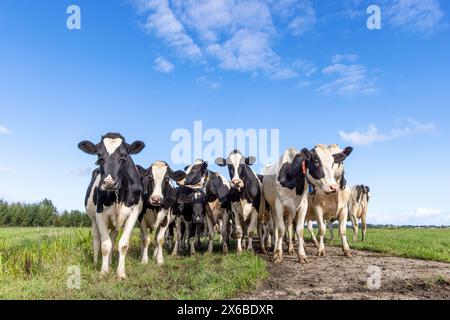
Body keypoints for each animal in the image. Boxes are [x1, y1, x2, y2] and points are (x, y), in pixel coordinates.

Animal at [78, 132, 145, 278]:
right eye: (99, 155)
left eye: (124, 155)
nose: (109, 183)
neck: (118, 196)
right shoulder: (100, 215)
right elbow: (105, 245)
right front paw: (103, 271)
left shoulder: (133, 213)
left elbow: (122, 244)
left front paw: (120, 273)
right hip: (94, 220)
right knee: (97, 241)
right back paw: (97, 263)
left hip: (115, 224)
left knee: (113, 239)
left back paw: (109, 262)